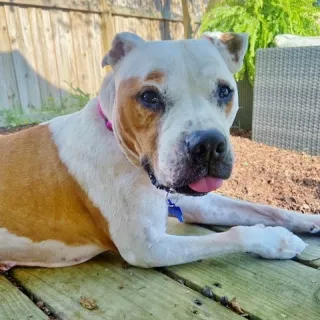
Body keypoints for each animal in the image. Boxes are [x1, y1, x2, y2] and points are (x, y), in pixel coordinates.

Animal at [0, 31, 320, 272]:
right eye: (149, 96)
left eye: (225, 91)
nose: (207, 145)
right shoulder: (147, 247)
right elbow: (234, 234)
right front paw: (276, 241)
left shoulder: (190, 201)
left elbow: (260, 208)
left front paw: (310, 220)